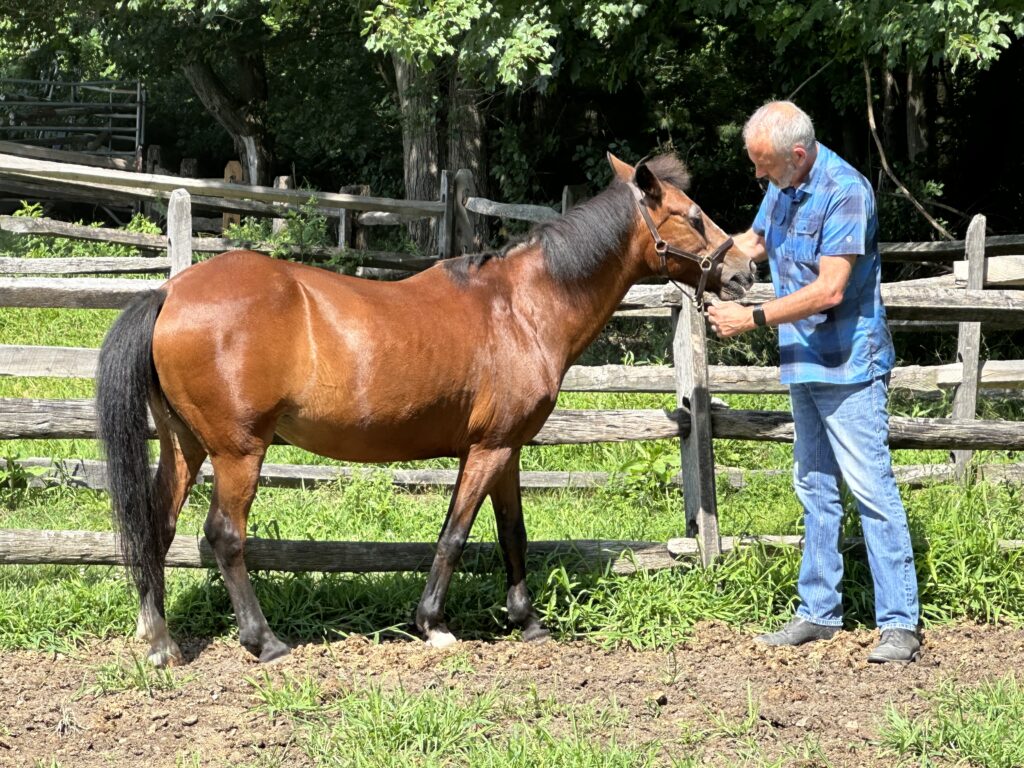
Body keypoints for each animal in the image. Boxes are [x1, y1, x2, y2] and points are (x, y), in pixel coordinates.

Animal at [94, 151, 753, 667]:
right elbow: (455, 535)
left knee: (157, 526)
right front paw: (433, 624)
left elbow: (512, 533)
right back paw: (264, 641)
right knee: (224, 536)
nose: (745, 270)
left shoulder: (506, 449)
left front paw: (527, 621)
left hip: (186, 446)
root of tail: (169, 292)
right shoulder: (487, 450)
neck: (523, 307)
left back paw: (159, 640)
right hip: (238, 453)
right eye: (693, 216)